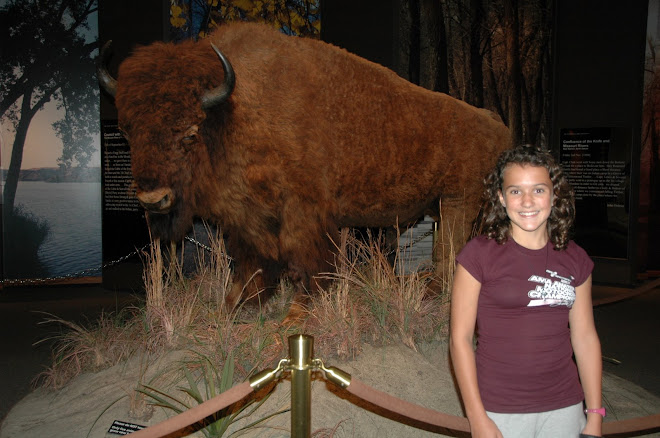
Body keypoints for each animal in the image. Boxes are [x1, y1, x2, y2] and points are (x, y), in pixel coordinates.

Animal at [98, 20, 510, 310]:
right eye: (126, 131)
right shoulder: (246, 216)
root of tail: (497, 126)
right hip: (444, 206)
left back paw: (433, 293)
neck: (236, 110)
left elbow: (306, 261)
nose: (153, 200)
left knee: (450, 252)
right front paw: (236, 305)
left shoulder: (304, 212)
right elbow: (252, 262)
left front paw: (298, 313)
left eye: (190, 132)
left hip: (459, 202)